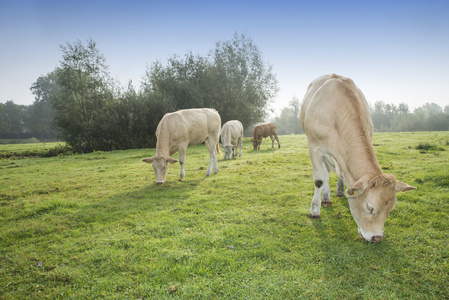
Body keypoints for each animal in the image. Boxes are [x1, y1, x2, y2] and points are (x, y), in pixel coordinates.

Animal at [300, 74, 414, 243]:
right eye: (369, 207)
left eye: (391, 209)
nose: (377, 237)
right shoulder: (314, 146)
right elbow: (319, 180)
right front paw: (314, 210)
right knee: (325, 174)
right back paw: (325, 198)